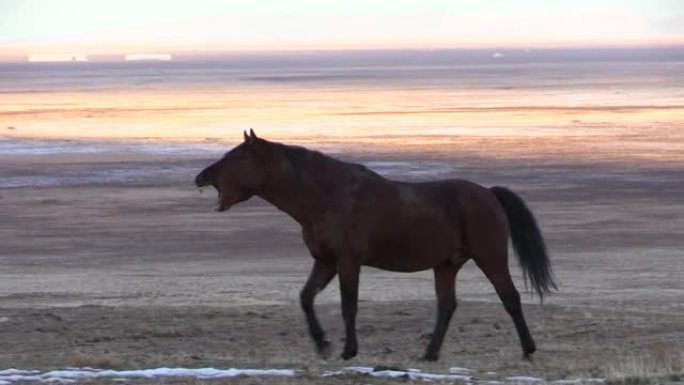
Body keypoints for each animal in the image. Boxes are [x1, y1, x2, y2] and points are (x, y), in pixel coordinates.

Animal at [194, 129, 556, 360]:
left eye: (234, 157)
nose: (200, 176)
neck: (327, 197)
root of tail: (489, 194)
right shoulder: (325, 262)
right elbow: (306, 298)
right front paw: (322, 345)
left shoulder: (348, 262)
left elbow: (349, 305)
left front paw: (347, 350)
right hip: (447, 265)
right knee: (447, 306)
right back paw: (429, 354)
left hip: (489, 257)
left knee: (510, 298)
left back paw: (528, 350)